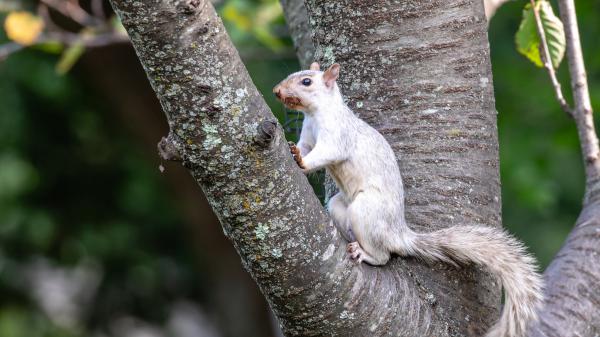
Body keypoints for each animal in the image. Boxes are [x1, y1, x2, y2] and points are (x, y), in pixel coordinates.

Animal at [274, 61, 548, 336]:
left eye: (306, 81)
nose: (277, 91)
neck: (316, 114)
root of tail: (398, 233)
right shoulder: (309, 135)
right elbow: (305, 147)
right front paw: (293, 151)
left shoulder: (338, 135)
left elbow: (326, 153)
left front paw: (302, 162)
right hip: (340, 206)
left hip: (366, 210)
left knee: (383, 256)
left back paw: (365, 253)